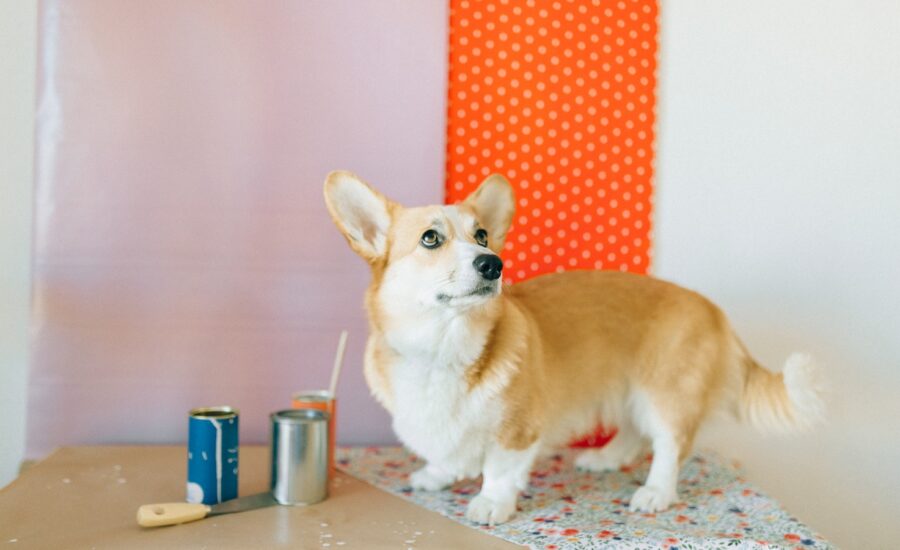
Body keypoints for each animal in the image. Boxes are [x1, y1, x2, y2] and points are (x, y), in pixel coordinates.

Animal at [322, 171, 824, 528]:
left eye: (481, 235)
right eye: (431, 238)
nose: (493, 264)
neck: (443, 346)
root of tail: (713, 309)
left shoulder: (519, 429)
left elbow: (501, 467)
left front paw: (490, 502)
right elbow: (445, 452)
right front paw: (436, 474)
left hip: (663, 392)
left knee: (670, 444)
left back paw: (655, 492)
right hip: (627, 388)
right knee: (635, 433)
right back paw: (605, 458)